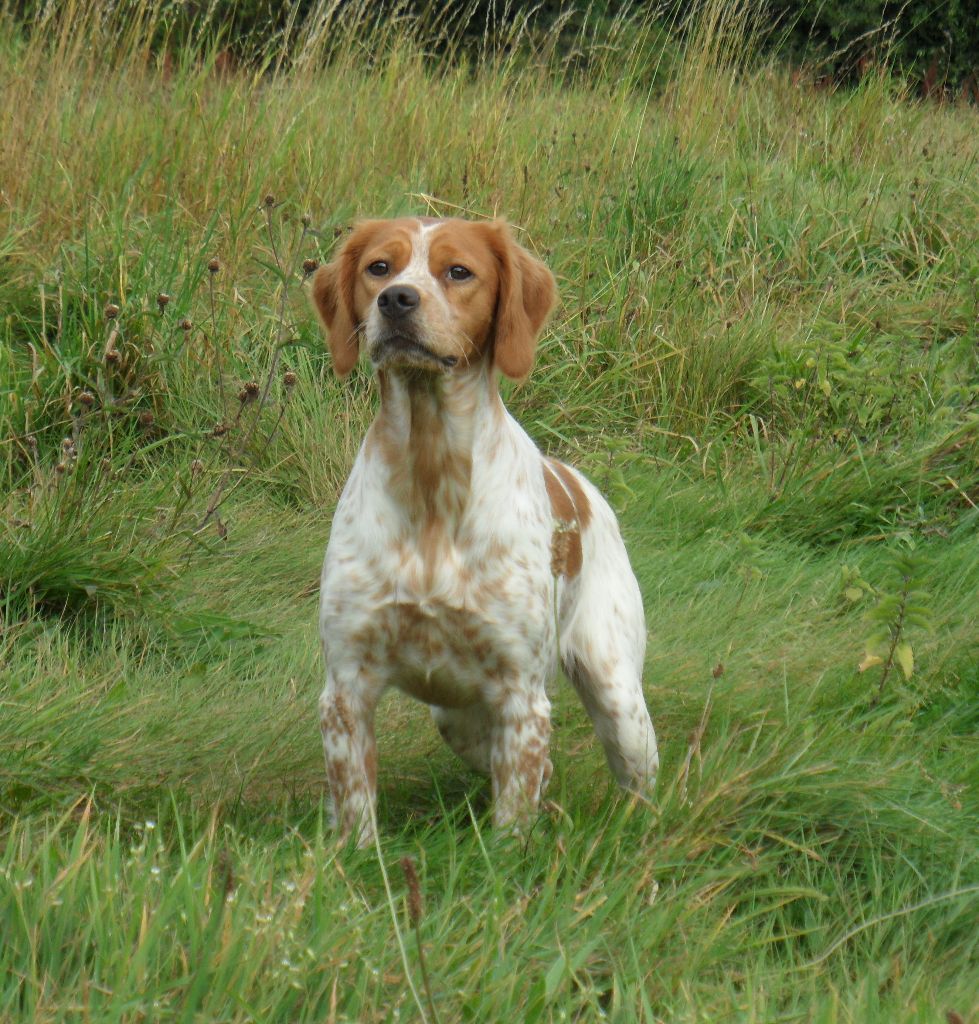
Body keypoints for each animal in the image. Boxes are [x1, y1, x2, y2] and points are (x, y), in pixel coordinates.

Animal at [309, 211, 655, 843]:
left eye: (458, 271)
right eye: (379, 267)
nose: (398, 300)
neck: (431, 474)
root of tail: (581, 483)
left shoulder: (521, 695)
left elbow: (512, 822)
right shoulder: (346, 688)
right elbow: (355, 813)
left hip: (617, 698)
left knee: (636, 782)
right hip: (457, 718)